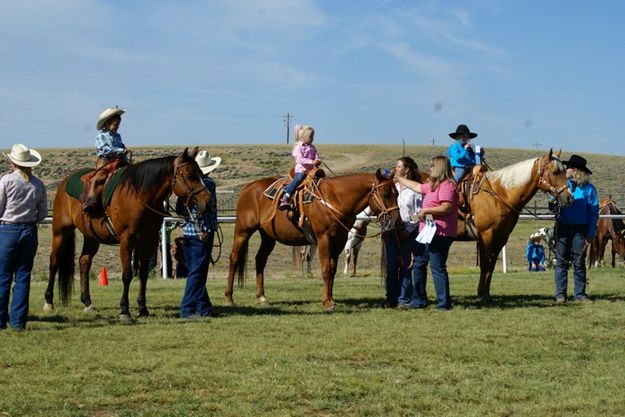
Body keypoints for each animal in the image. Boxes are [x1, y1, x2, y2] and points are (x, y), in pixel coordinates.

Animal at [44, 148, 211, 316]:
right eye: (190, 175)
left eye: (201, 174)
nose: (207, 200)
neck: (140, 196)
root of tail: (65, 181)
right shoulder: (127, 239)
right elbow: (127, 274)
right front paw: (124, 309)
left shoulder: (148, 240)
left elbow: (143, 273)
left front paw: (143, 308)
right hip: (60, 231)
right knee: (54, 261)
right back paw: (49, 301)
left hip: (91, 237)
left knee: (84, 262)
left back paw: (87, 303)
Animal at [224, 169, 400, 308]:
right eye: (385, 194)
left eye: (397, 194)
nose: (396, 220)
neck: (335, 198)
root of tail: (247, 188)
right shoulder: (324, 239)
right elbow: (326, 269)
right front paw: (327, 302)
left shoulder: (339, 241)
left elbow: (333, 269)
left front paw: (331, 298)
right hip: (243, 231)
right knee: (234, 257)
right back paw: (229, 297)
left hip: (267, 236)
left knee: (260, 259)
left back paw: (261, 297)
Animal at [454, 150, 572, 300]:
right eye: (555, 172)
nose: (569, 197)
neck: (499, 195)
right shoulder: (486, 236)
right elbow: (485, 265)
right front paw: (481, 294)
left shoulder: (501, 238)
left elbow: (491, 265)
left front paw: (486, 294)